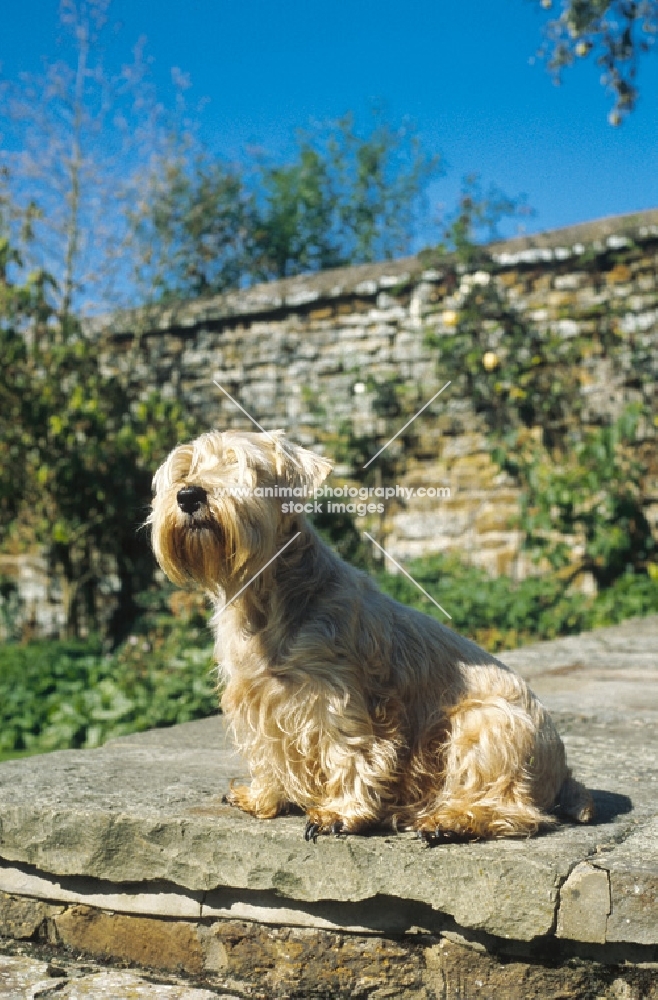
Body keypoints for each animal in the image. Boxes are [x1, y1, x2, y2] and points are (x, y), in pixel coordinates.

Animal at [150, 426, 596, 840]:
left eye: (240, 465)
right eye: (184, 469)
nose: (188, 495)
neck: (263, 597)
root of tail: (564, 774)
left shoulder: (334, 694)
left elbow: (348, 750)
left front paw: (339, 813)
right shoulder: (255, 697)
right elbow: (268, 752)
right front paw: (264, 797)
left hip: (483, 722)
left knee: (511, 807)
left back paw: (449, 820)